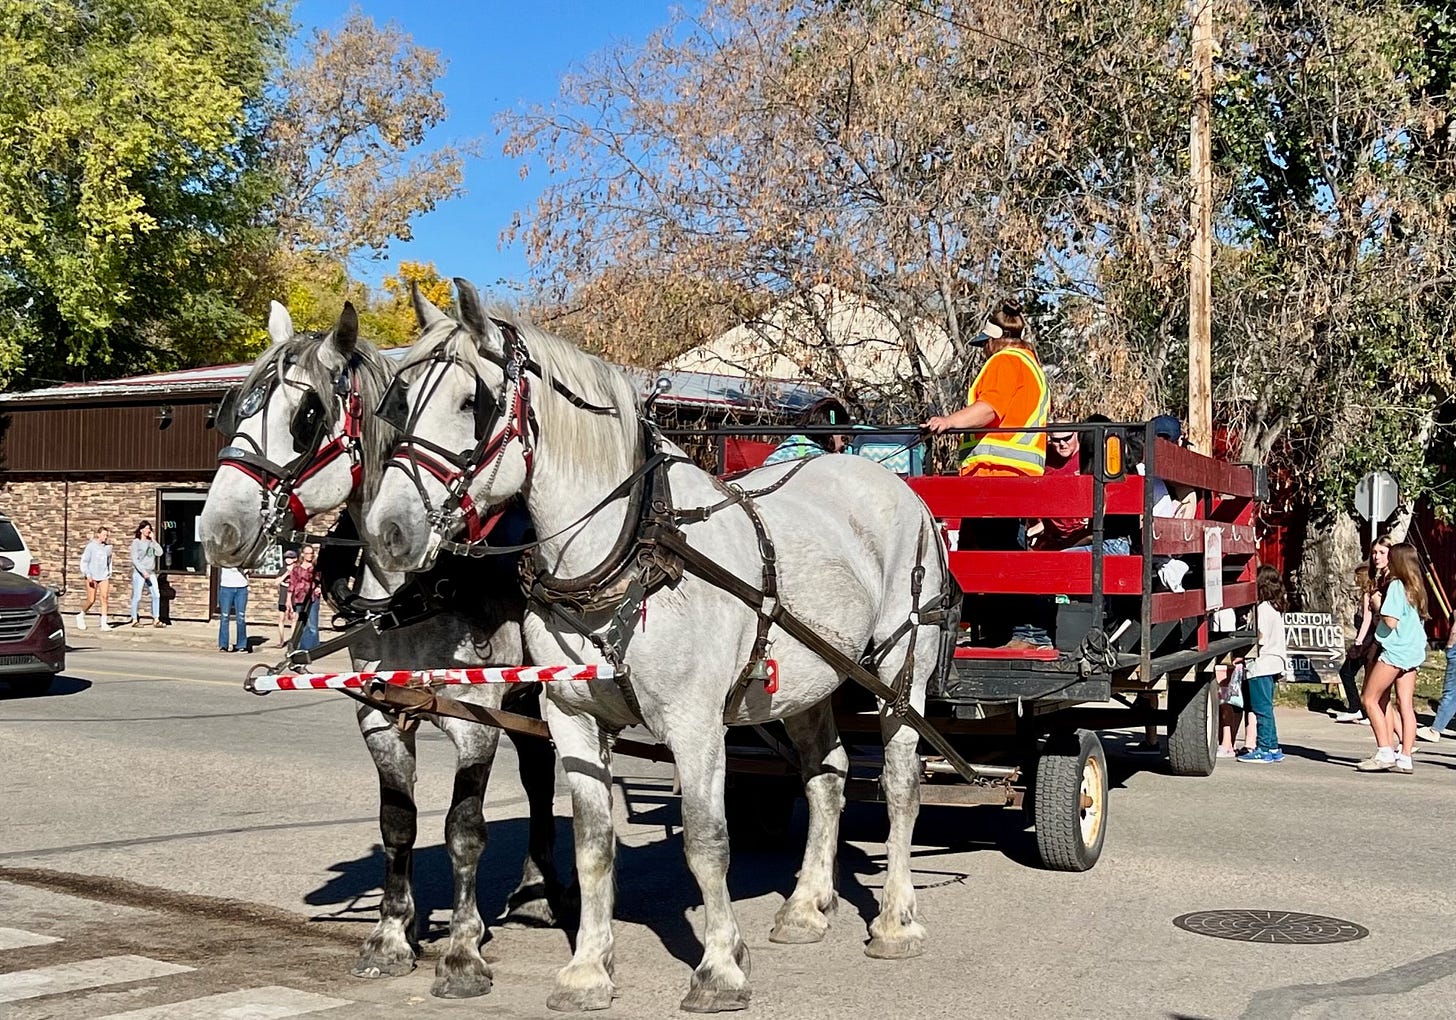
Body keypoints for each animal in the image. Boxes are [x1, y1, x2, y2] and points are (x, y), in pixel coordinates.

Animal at [202, 299, 564, 995]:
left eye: (305, 415)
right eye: (233, 411)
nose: (217, 530)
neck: (416, 588)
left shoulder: (478, 717)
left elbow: (464, 831)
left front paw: (462, 952)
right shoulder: (378, 715)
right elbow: (398, 823)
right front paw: (393, 936)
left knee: (540, 776)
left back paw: (539, 892)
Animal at [369, 285, 949, 1012]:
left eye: (473, 401)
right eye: (397, 398)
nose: (388, 531)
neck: (631, 553)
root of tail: (889, 481)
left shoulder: (695, 724)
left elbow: (706, 842)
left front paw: (720, 969)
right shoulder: (571, 718)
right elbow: (593, 844)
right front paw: (588, 970)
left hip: (902, 670)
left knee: (899, 782)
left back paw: (897, 919)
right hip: (804, 682)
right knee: (827, 774)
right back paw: (806, 906)